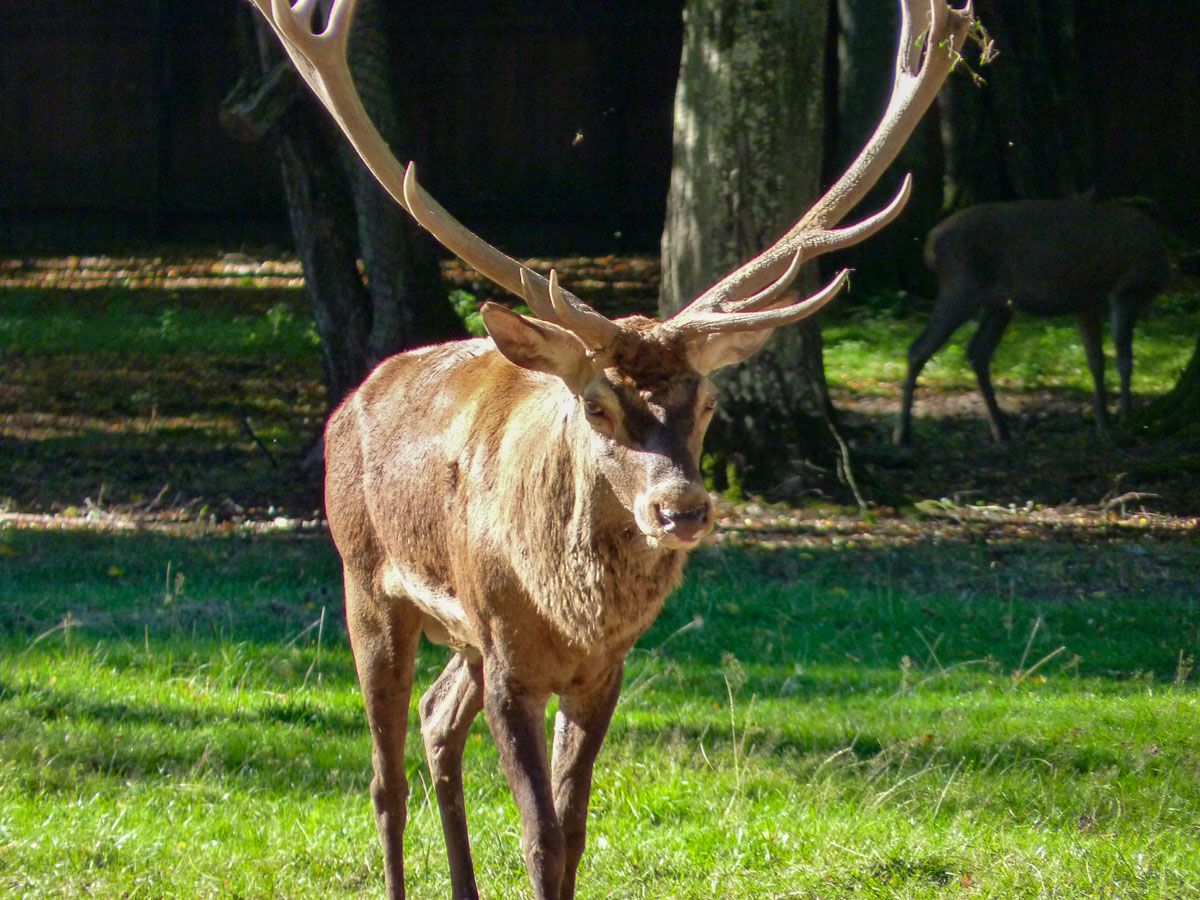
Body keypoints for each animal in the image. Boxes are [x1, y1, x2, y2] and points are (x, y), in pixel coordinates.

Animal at [247, 0, 974, 897]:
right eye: (598, 405)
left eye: (708, 402)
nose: (682, 507)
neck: (572, 613)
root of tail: (352, 399)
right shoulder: (510, 660)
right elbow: (539, 835)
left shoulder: (602, 670)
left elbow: (575, 830)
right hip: (369, 585)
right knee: (385, 778)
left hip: (460, 640)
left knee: (437, 719)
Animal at [894, 197, 1170, 445]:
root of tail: (930, 245)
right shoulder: (1121, 293)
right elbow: (1121, 358)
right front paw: (1122, 420)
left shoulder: (1086, 304)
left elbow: (1098, 360)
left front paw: (1106, 423)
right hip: (961, 288)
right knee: (918, 349)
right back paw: (903, 434)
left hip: (999, 304)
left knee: (977, 352)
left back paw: (1002, 432)